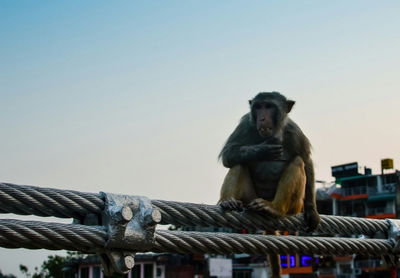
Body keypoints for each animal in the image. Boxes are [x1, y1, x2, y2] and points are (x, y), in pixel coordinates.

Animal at [217, 92, 320, 278]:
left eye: (269, 106)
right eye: (258, 107)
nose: (262, 118)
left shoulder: (294, 131)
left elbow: (306, 161)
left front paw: (312, 211)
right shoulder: (246, 123)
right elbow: (229, 154)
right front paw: (262, 149)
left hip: (294, 206)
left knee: (297, 161)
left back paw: (274, 208)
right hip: (250, 197)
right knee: (239, 163)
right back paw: (228, 201)